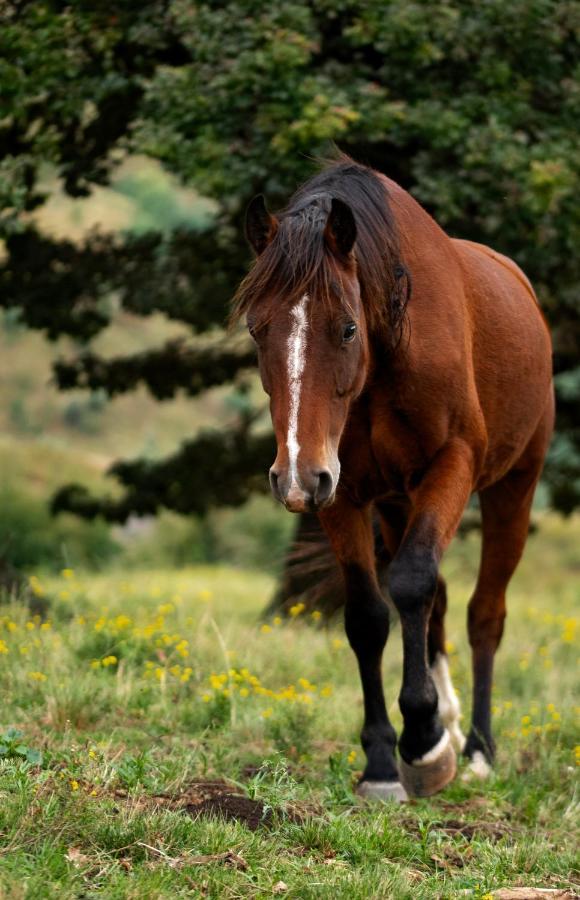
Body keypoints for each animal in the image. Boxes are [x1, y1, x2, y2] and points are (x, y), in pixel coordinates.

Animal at [231, 155, 552, 800]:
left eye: (347, 328)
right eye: (256, 329)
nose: (291, 476)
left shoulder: (451, 464)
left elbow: (411, 584)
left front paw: (423, 742)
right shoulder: (340, 493)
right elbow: (369, 614)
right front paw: (384, 759)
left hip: (514, 485)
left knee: (484, 613)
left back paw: (476, 749)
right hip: (395, 502)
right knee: (438, 603)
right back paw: (449, 724)